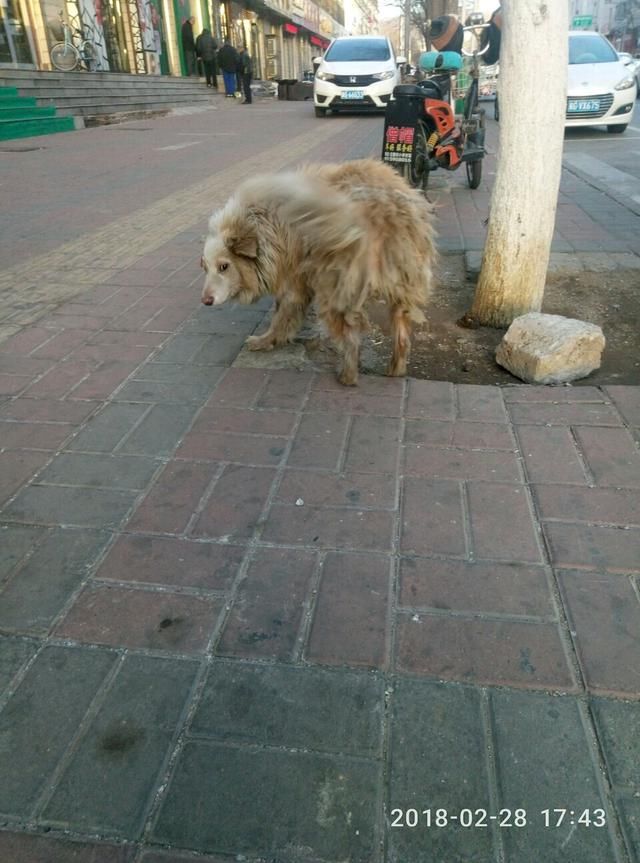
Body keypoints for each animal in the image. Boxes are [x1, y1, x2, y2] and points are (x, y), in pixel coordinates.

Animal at [202, 158, 438, 384]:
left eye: (224, 266)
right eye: (205, 267)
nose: (205, 301)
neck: (263, 225)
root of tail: (386, 212)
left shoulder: (293, 279)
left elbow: (281, 314)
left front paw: (267, 340)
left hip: (336, 287)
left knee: (351, 338)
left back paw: (348, 376)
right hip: (403, 283)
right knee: (402, 335)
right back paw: (395, 370)